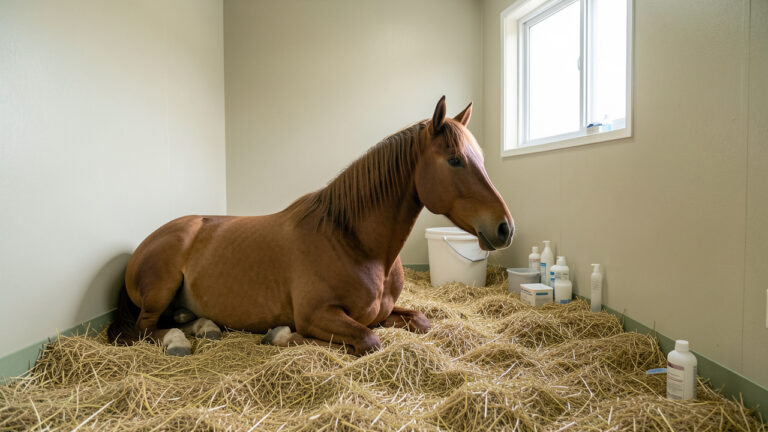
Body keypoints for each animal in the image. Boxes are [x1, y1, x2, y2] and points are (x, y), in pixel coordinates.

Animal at [107, 96, 514, 356]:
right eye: (456, 160)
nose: (505, 228)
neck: (353, 243)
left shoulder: (385, 312)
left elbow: (421, 320)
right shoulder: (317, 315)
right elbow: (367, 341)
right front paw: (278, 335)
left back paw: (203, 326)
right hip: (160, 289)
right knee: (144, 329)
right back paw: (179, 340)